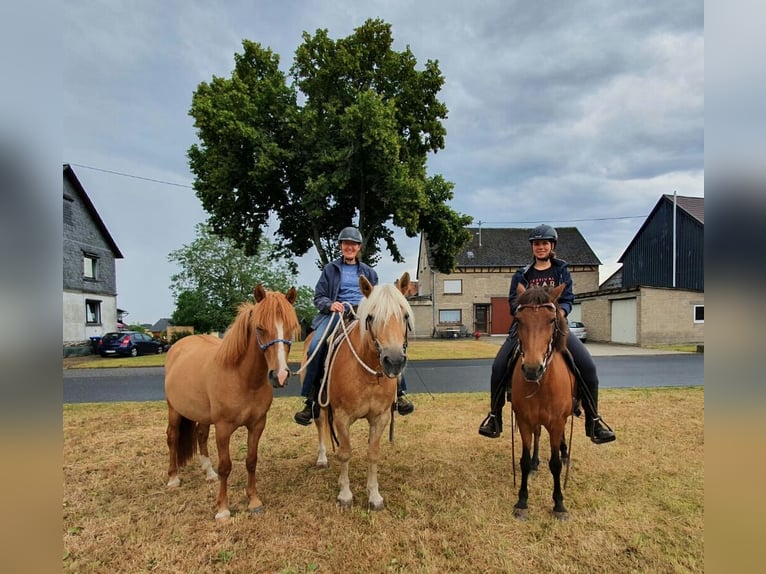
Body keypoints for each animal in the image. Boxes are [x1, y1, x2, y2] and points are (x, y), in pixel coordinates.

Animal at [164, 284, 299, 520]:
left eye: (290, 328)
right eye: (260, 328)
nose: (280, 376)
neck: (243, 379)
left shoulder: (257, 425)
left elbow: (251, 461)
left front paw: (253, 501)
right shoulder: (223, 428)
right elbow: (226, 467)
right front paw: (222, 509)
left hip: (202, 415)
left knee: (200, 436)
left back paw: (209, 473)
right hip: (174, 409)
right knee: (173, 437)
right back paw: (173, 478)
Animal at [306, 272, 413, 510]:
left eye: (404, 316)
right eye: (371, 317)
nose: (394, 361)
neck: (368, 374)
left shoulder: (380, 417)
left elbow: (373, 454)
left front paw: (374, 496)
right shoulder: (342, 417)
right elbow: (345, 453)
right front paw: (345, 494)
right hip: (320, 403)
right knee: (319, 423)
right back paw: (322, 458)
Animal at [510, 283, 575, 520]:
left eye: (551, 320)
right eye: (519, 319)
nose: (531, 369)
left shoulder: (556, 422)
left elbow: (555, 464)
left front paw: (559, 504)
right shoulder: (525, 421)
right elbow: (524, 460)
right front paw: (522, 502)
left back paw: (565, 453)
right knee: (538, 436)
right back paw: (537, 463)